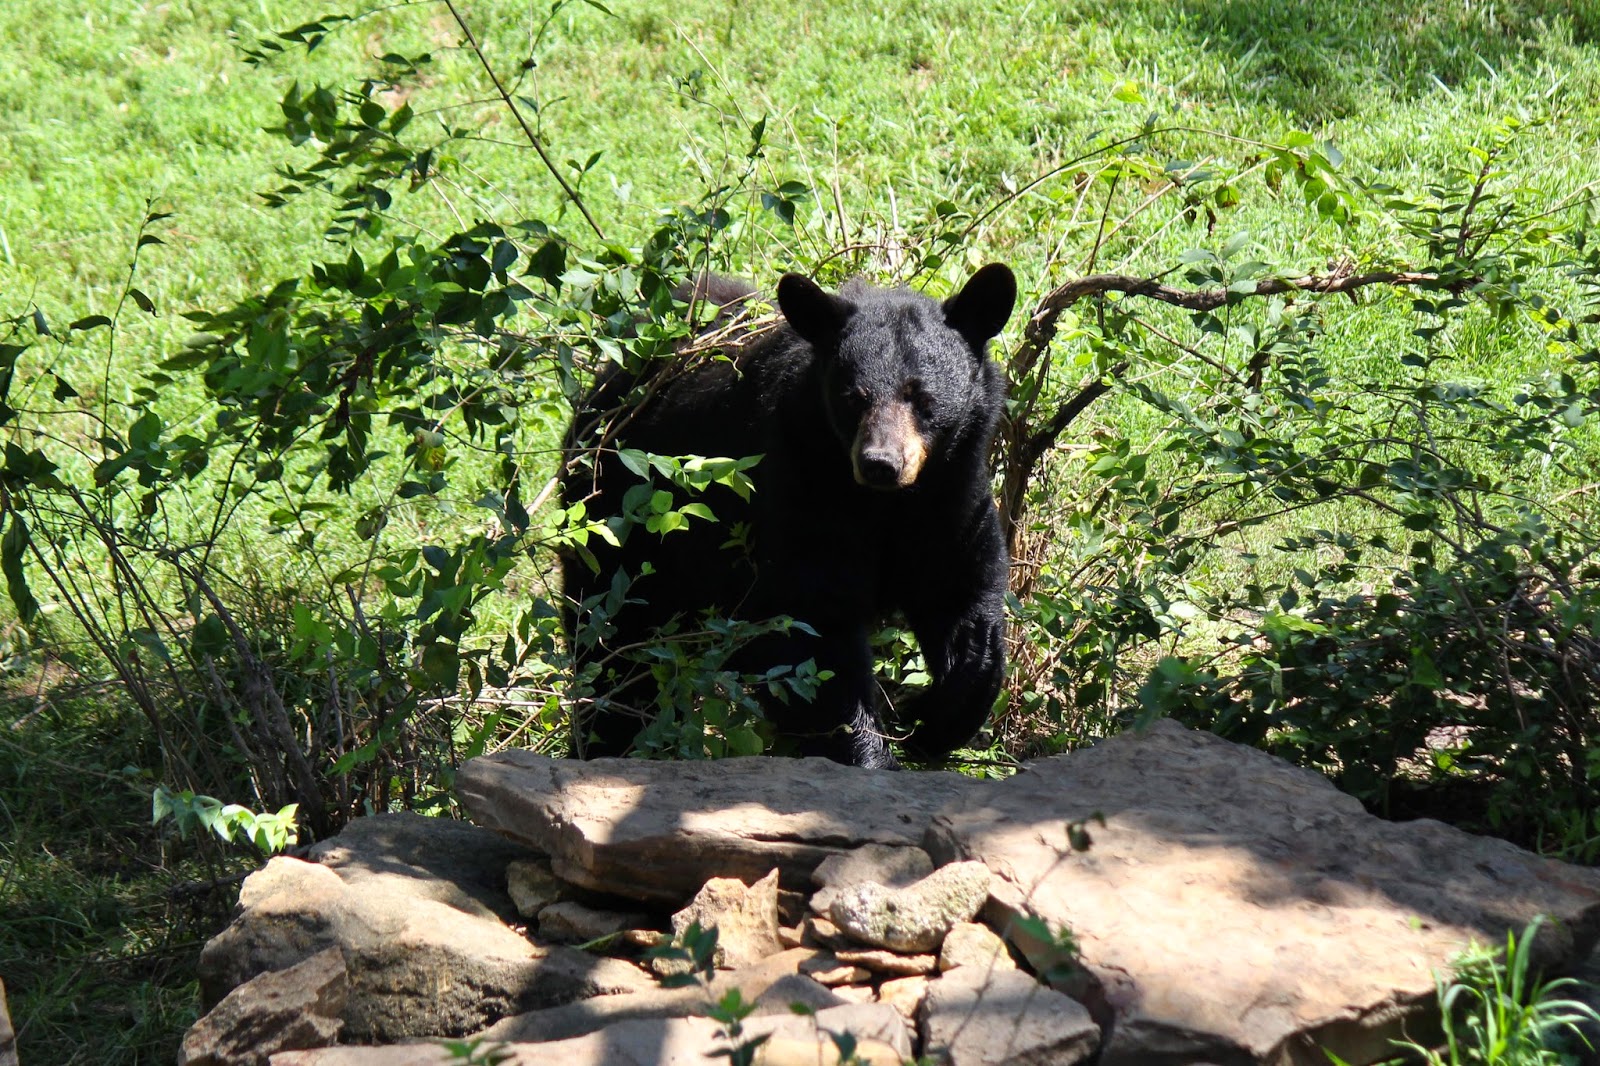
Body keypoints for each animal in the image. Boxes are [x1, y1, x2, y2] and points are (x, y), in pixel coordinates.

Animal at [560, 263, 1017, 768]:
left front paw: (929, 721)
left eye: (922, 398)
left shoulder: (952, 499)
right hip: (617, 515)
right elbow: (805, 630)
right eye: (853, 398)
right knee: (613, 631)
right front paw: (871, 755)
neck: (884, 504)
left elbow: (963, 599)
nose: (880, 463)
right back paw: (610, 740)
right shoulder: (798, 492)